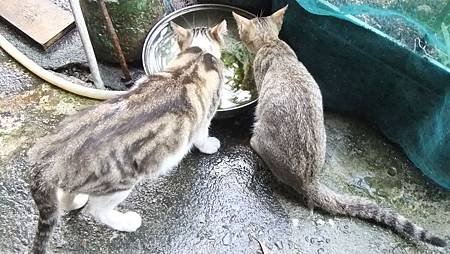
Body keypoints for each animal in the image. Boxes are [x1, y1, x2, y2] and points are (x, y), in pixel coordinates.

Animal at [27, 20, 229, 254]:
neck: (199, 52)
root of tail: (48, 160)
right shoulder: (204, 117)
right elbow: (202, 136)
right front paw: (210, 145)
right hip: (120, 184)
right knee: (98, 211)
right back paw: (127, 222)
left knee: (67, 197)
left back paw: (75, 202)